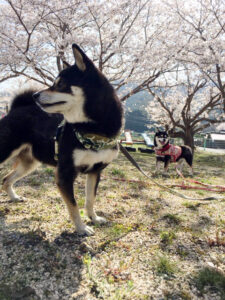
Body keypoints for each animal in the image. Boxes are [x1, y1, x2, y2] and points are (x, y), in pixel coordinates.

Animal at [0, 44, 123, 236]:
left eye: (61, 84)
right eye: (54, 83)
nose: (35, 95)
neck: (93, 131)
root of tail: (15, 108)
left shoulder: (96, 171)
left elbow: (90, 199)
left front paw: (94, 218)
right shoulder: (65, 173)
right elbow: (73, 206)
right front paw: (81, 228)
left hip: (30, 163)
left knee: (6, 180)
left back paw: (14, 197)